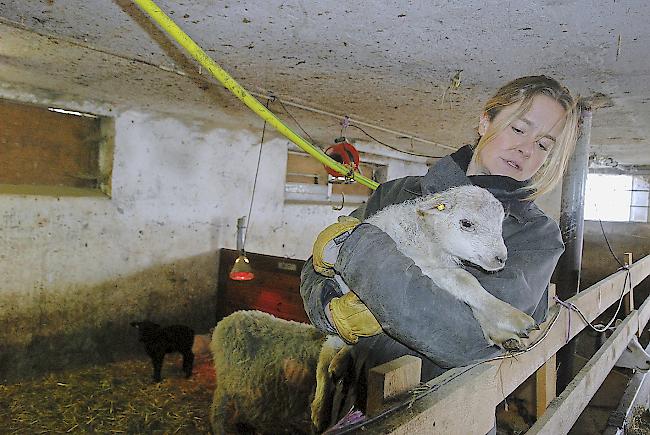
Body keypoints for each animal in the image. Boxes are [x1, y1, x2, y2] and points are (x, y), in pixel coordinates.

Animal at [364, 184, 536, 350]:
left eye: (500, 224)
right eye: (466, 223)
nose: (501, 258)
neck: (427, 236)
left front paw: (500, 333)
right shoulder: (418, 264)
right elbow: (464, 279)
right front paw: (513, 317)